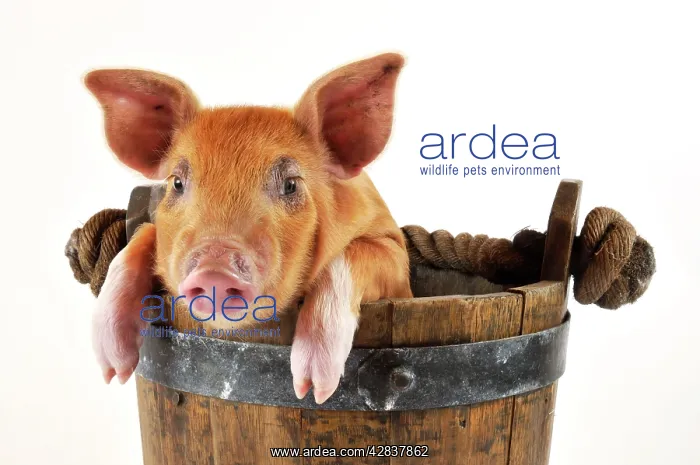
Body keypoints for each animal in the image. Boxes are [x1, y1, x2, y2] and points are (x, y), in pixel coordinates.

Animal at [86, 53, 413, 404]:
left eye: (290, 185)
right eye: (176, 182)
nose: (214, 267)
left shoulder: (395, 255)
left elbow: (350, 255)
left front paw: (312, 390)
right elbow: (142, 236)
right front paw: (111, 370)